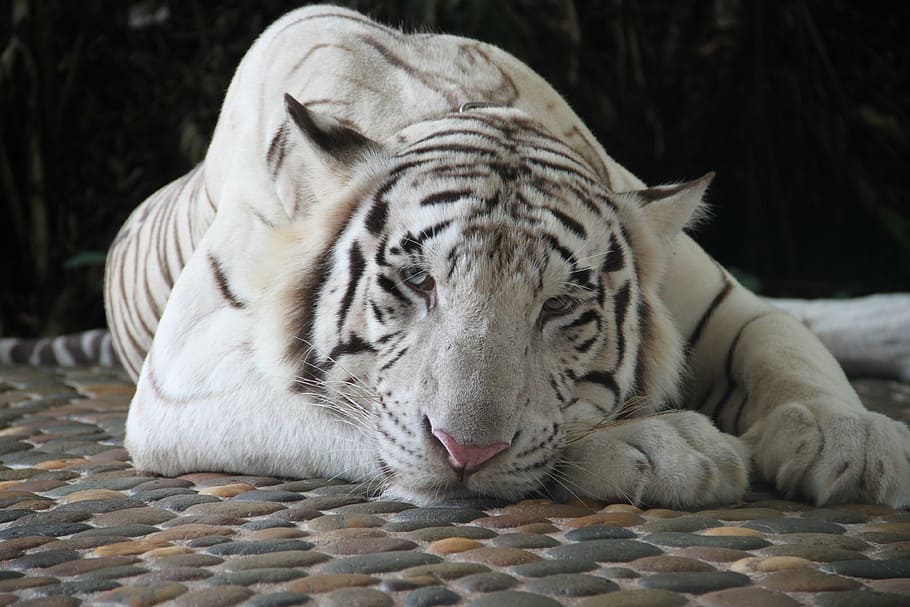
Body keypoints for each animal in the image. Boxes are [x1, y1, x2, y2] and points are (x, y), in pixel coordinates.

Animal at [103, 5, 908, 508]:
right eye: (417, 281)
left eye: (558, 304)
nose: (466, 451)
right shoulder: (183, 371)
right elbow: (348, 410)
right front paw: (666, 443)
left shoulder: (719, 300)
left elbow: (785, 346)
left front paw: (856, 441)